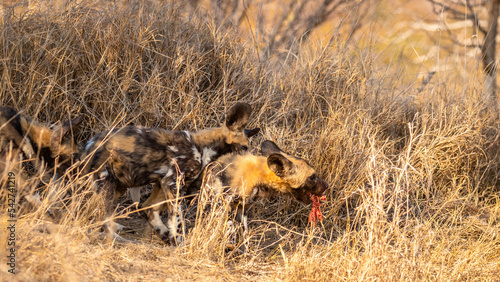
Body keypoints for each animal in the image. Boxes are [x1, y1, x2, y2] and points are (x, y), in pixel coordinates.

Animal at [80, 102, 260, 243]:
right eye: (244, 147)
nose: (250, 164)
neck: (204, 148)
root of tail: (89, 144)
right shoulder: (173, 183)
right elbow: (178, 221)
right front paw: (179, 241)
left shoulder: (162, 184)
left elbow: (151, 210)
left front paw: (166, 236)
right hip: (106, 185)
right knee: (101, 215)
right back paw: (114, 237)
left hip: (118, 186)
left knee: (91, 211)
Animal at [201, 140, 330, 252]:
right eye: (312, 177)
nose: (327, 185)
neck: (258, 177)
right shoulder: (225, 204)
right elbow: (230, 227)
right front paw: (229, 246)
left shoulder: (242, 209)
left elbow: (244, 232)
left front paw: (244, 251)